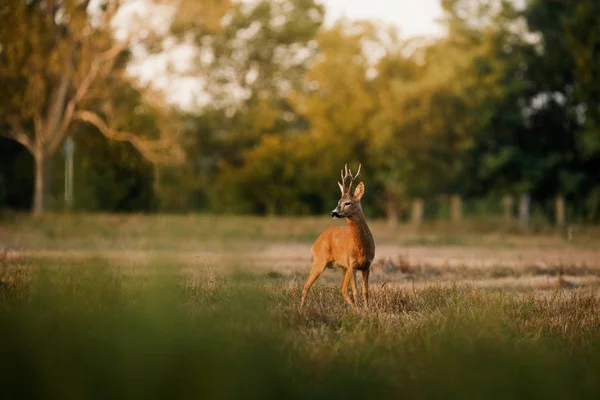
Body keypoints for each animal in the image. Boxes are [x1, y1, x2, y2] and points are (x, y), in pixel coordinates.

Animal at [300, 162, 376, 310]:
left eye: (348, 202)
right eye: (338, 201)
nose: (333, 213)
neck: (362, 248)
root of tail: (317, 241)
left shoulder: (366, 266)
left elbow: (365, 292)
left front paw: (367, 311)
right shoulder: (352, 265)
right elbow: (356, 292)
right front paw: (362, 311)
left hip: (342, 267)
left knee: (342, 289)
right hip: (320, 260)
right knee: (306, 284)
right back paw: (300, 310)